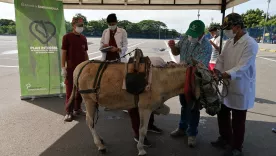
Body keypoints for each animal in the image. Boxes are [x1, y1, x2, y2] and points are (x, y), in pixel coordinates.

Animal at [66, 58, 220, 155]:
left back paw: (100, 139)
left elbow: (165, 110)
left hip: (94, 100)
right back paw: (100, 144)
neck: (159, 80)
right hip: (88, 99)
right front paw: (141, 149)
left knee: (92, 122)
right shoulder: (145, 108)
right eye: (209, 87)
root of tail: (80, 66)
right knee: (89, 122)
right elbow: (142, 129)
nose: (217, 107)